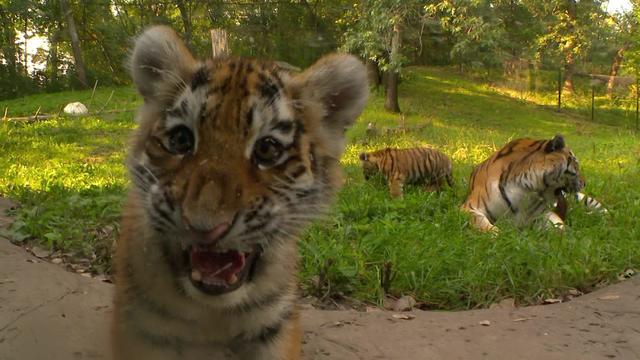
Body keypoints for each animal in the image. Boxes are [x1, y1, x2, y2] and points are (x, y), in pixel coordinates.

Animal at [462, 135, 608, 233]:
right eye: (576, 167)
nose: (584, 183)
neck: (525, 189)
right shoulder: (469, 208)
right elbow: (481, 223)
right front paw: (497, 236)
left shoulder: (546, 214)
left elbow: (561, 228)